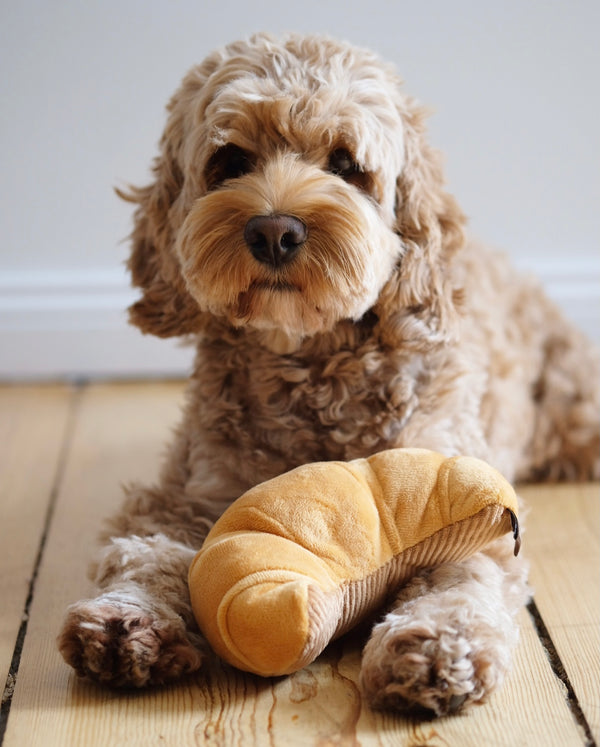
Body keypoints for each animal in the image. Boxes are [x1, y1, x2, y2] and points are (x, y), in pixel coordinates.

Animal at [57, 35, 600, 720]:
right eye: (229, 161)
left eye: (346, 164)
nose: (274, 231)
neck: (310, 364)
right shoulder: (189, 492)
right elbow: (146, 550)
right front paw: (127, 619)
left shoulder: (460, 484)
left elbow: (463, 568)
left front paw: (435, 644)